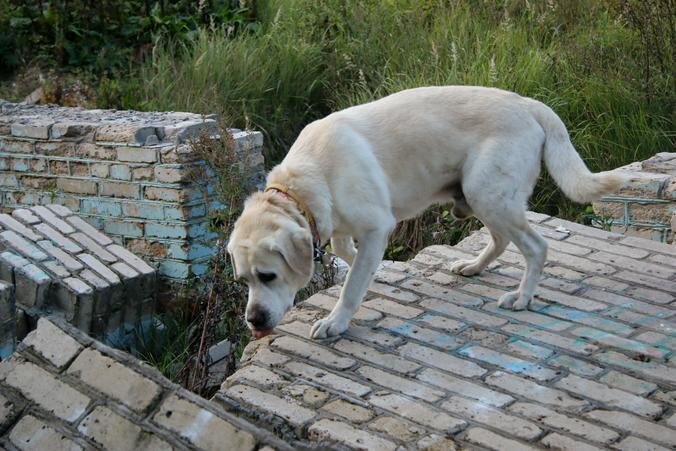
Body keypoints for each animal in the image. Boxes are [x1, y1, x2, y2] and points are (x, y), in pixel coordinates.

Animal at [230, 85, 620, 340]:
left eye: (268, 276)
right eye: (243, 281)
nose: (254, 321)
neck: (303, 184)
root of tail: (529, 103)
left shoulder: (377, 225)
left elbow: (352, 286)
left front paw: (336, 321)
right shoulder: (341, 226)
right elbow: (348, 254)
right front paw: (375, 269)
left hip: (489, 195)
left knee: (536, 247)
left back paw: (522, 297)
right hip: (485, 197)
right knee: (501, 240)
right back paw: (473, 266)